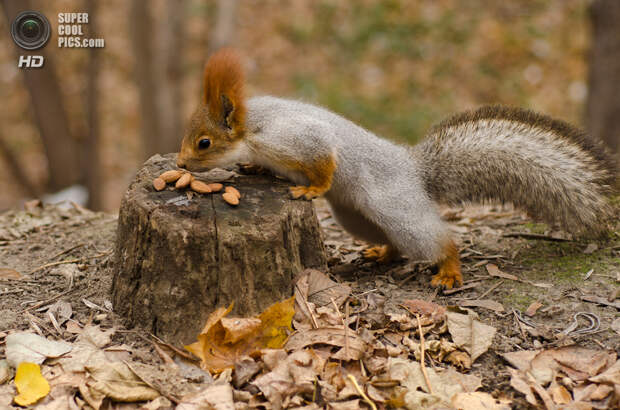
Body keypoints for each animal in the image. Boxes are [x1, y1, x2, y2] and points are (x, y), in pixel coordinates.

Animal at [177, 49, 616, 290]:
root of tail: (415, 171)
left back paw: (449, 269)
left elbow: (324, 159)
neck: (252, 125)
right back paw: (381, 253)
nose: (180, 163)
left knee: (436, 241)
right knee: (393, 243)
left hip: (397, 209)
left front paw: (311, 189)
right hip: (356, 217)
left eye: (204, 143)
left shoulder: (294, 138)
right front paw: (252, 167)